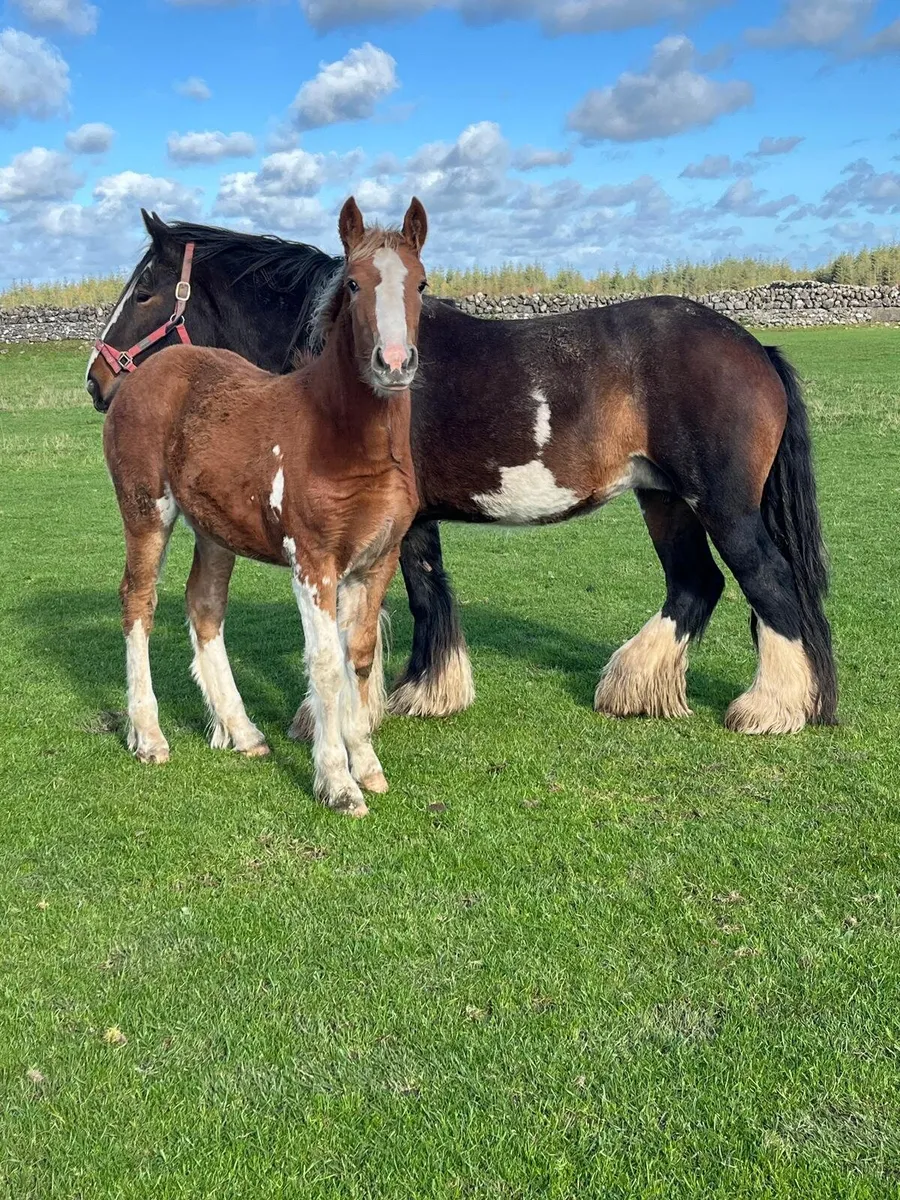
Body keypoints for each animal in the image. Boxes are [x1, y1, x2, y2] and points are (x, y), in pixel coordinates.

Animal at [89, 218, 837, 738]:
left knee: (767, 581)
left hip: (721, 504)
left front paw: (366, 706)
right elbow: (422, 596)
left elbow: (406, 601)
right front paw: (424, 692)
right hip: (664, 499)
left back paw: (769, 708)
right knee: (695, 584)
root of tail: (751, 346)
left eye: (145, 291)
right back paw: (635, 685)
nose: (96, 382)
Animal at [101, 198, 428, 817]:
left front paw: (367, 766)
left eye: (421, 283)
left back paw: (243, 730)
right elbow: (324, 666)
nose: (394, 364)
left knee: (204, 606)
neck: (347, 440)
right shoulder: (313, 565)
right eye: (353, 283)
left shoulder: (375, 563)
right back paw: (149, 736)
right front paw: (337, 783)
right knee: (138, 601)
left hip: (214, 530)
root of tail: (144, 374)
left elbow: (359, 658)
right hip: (146, 511)